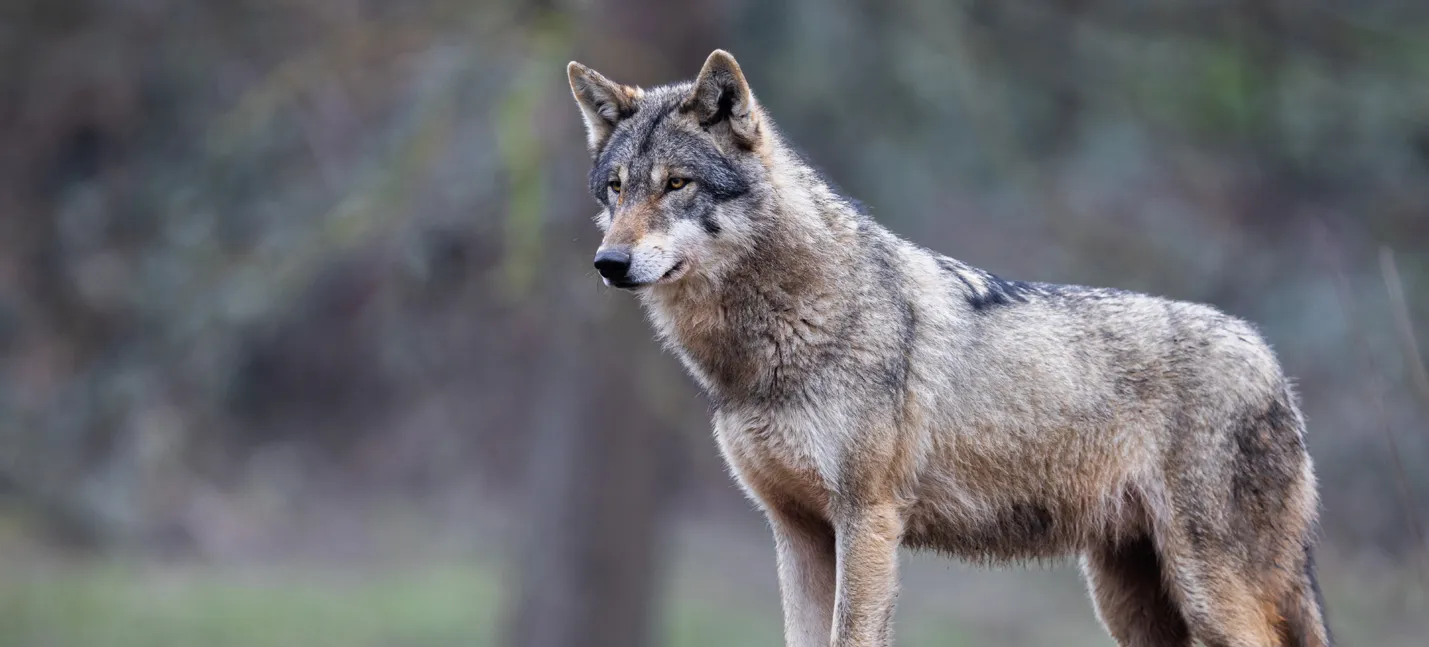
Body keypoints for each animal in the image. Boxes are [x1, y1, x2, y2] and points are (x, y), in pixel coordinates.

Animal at [566, 50, 1331, 647]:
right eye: (616, 189)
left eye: (676, 184)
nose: (608, 263)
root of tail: (1271, 361)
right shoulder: (796, 530)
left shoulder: (868, 520)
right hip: (1132, 601)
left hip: (1210, 591)